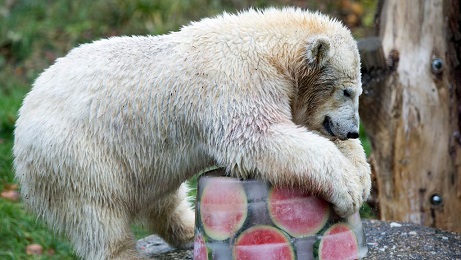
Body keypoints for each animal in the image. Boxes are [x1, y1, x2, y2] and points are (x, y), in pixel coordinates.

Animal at [13, 7, 370, 260]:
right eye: (347, 91)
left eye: (358, 92)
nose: (353, 131)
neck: (266, 48)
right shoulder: (239, 82)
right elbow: (259, 136)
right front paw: (348, 189)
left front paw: (362, 175)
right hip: (73, 155)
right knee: (97, 212)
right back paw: (125, 252)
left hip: (141, 162)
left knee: (163, 199)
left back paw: (186, 231)